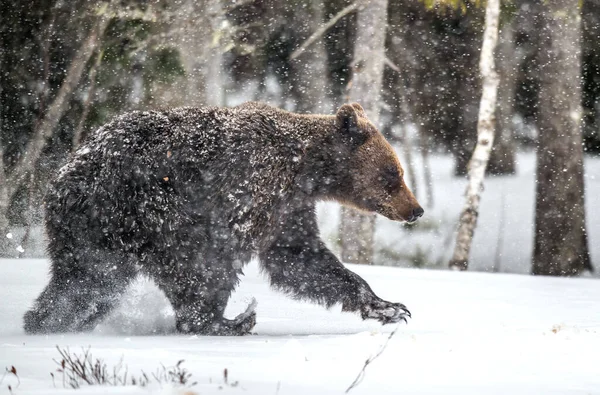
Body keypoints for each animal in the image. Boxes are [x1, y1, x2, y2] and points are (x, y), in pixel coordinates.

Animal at [23, 101, 424, 334]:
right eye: (393, 174)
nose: (415, 210)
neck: (304, 171)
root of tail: (63, 175)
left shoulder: (288, 209)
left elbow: (301, 259)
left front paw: (390, 307)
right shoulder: (246, 190)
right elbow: (220, 259)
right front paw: (221, 315)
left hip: (94, 235)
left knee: (87, 282)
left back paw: (48, 321)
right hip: (140, 210)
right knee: (167, 265)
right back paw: (228, 321)